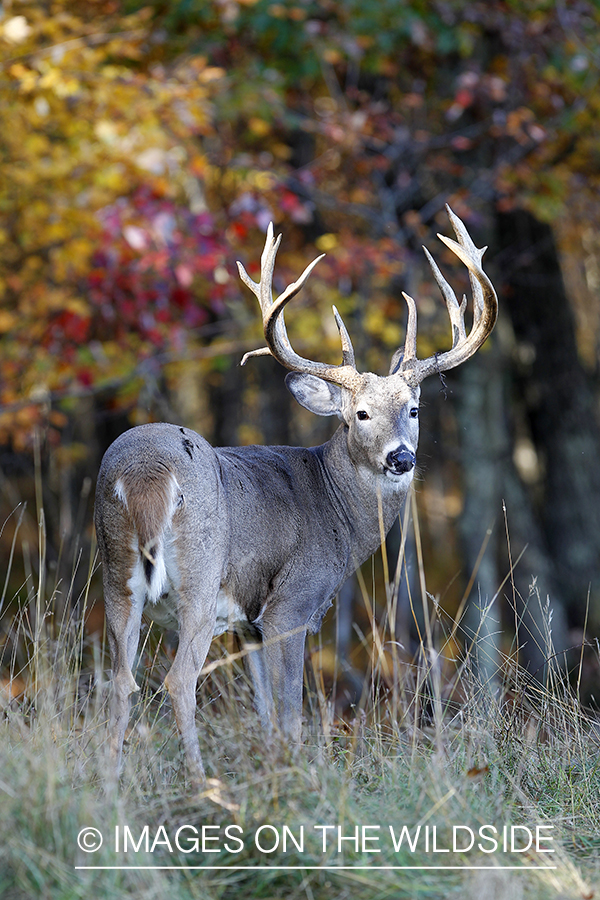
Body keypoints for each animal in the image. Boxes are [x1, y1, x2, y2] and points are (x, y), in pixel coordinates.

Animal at [95, 204, 496, 780]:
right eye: (360, 414)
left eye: (415, 409)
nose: (401, 458)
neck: (334, 507)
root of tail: (146, 471)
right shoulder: (291, 604)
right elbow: (289, 714)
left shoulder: (248, 626)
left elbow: (266, 713)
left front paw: (275, 771)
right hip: (198, 577)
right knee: (177, 681)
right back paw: (200, 782)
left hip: (115, 578)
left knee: (119, 682)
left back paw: (108, 783)